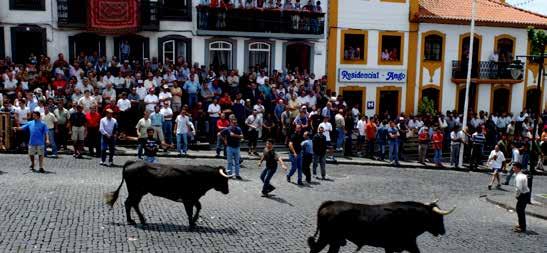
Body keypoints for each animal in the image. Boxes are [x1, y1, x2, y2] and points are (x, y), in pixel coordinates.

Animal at [310, 201, 456, 252]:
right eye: (438, 217)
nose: (443, 231)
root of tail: (330, 203)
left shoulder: (407, 245)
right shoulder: (394, 246)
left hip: (334, 241)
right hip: (325, 237)